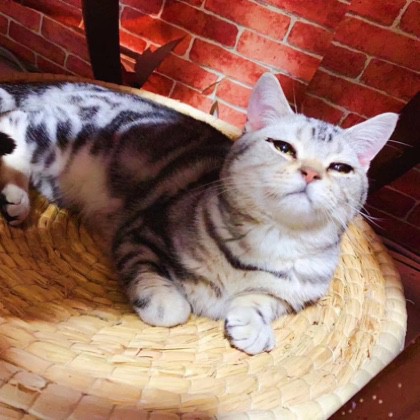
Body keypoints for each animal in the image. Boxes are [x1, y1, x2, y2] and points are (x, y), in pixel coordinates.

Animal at [0, 73, 398, 354]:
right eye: (284, 147)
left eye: (340, 168)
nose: (312, 173)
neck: (272, 242)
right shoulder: (140, 230)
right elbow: (160, 290)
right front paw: (166, 302)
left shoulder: (295, 293)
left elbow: (265, 300)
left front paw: (254, 326)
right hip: (63, 133)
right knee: (16, 124)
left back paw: (16, 199)